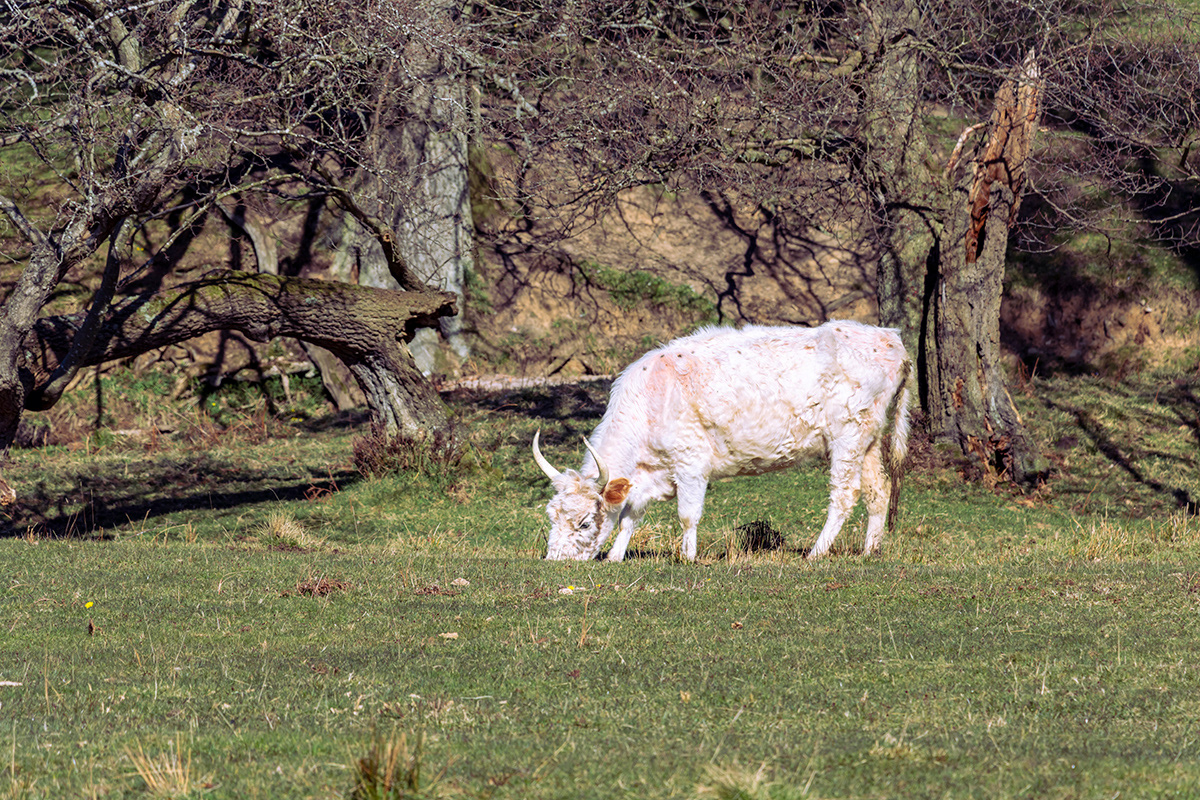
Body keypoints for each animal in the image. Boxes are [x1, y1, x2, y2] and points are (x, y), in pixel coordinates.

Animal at [532, 320, 912, 562]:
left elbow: (687, 515)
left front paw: (687, 557)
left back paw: (816, 553)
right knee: (878, 491)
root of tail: (889, 337)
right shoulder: (648, 475)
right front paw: (614, 556)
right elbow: (629, 515)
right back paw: (870, 550)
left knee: (845, 496)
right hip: (868, 441)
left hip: (847, 437)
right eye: (551, 516)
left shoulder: (690, 462)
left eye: (584, 522)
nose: (554, 560)